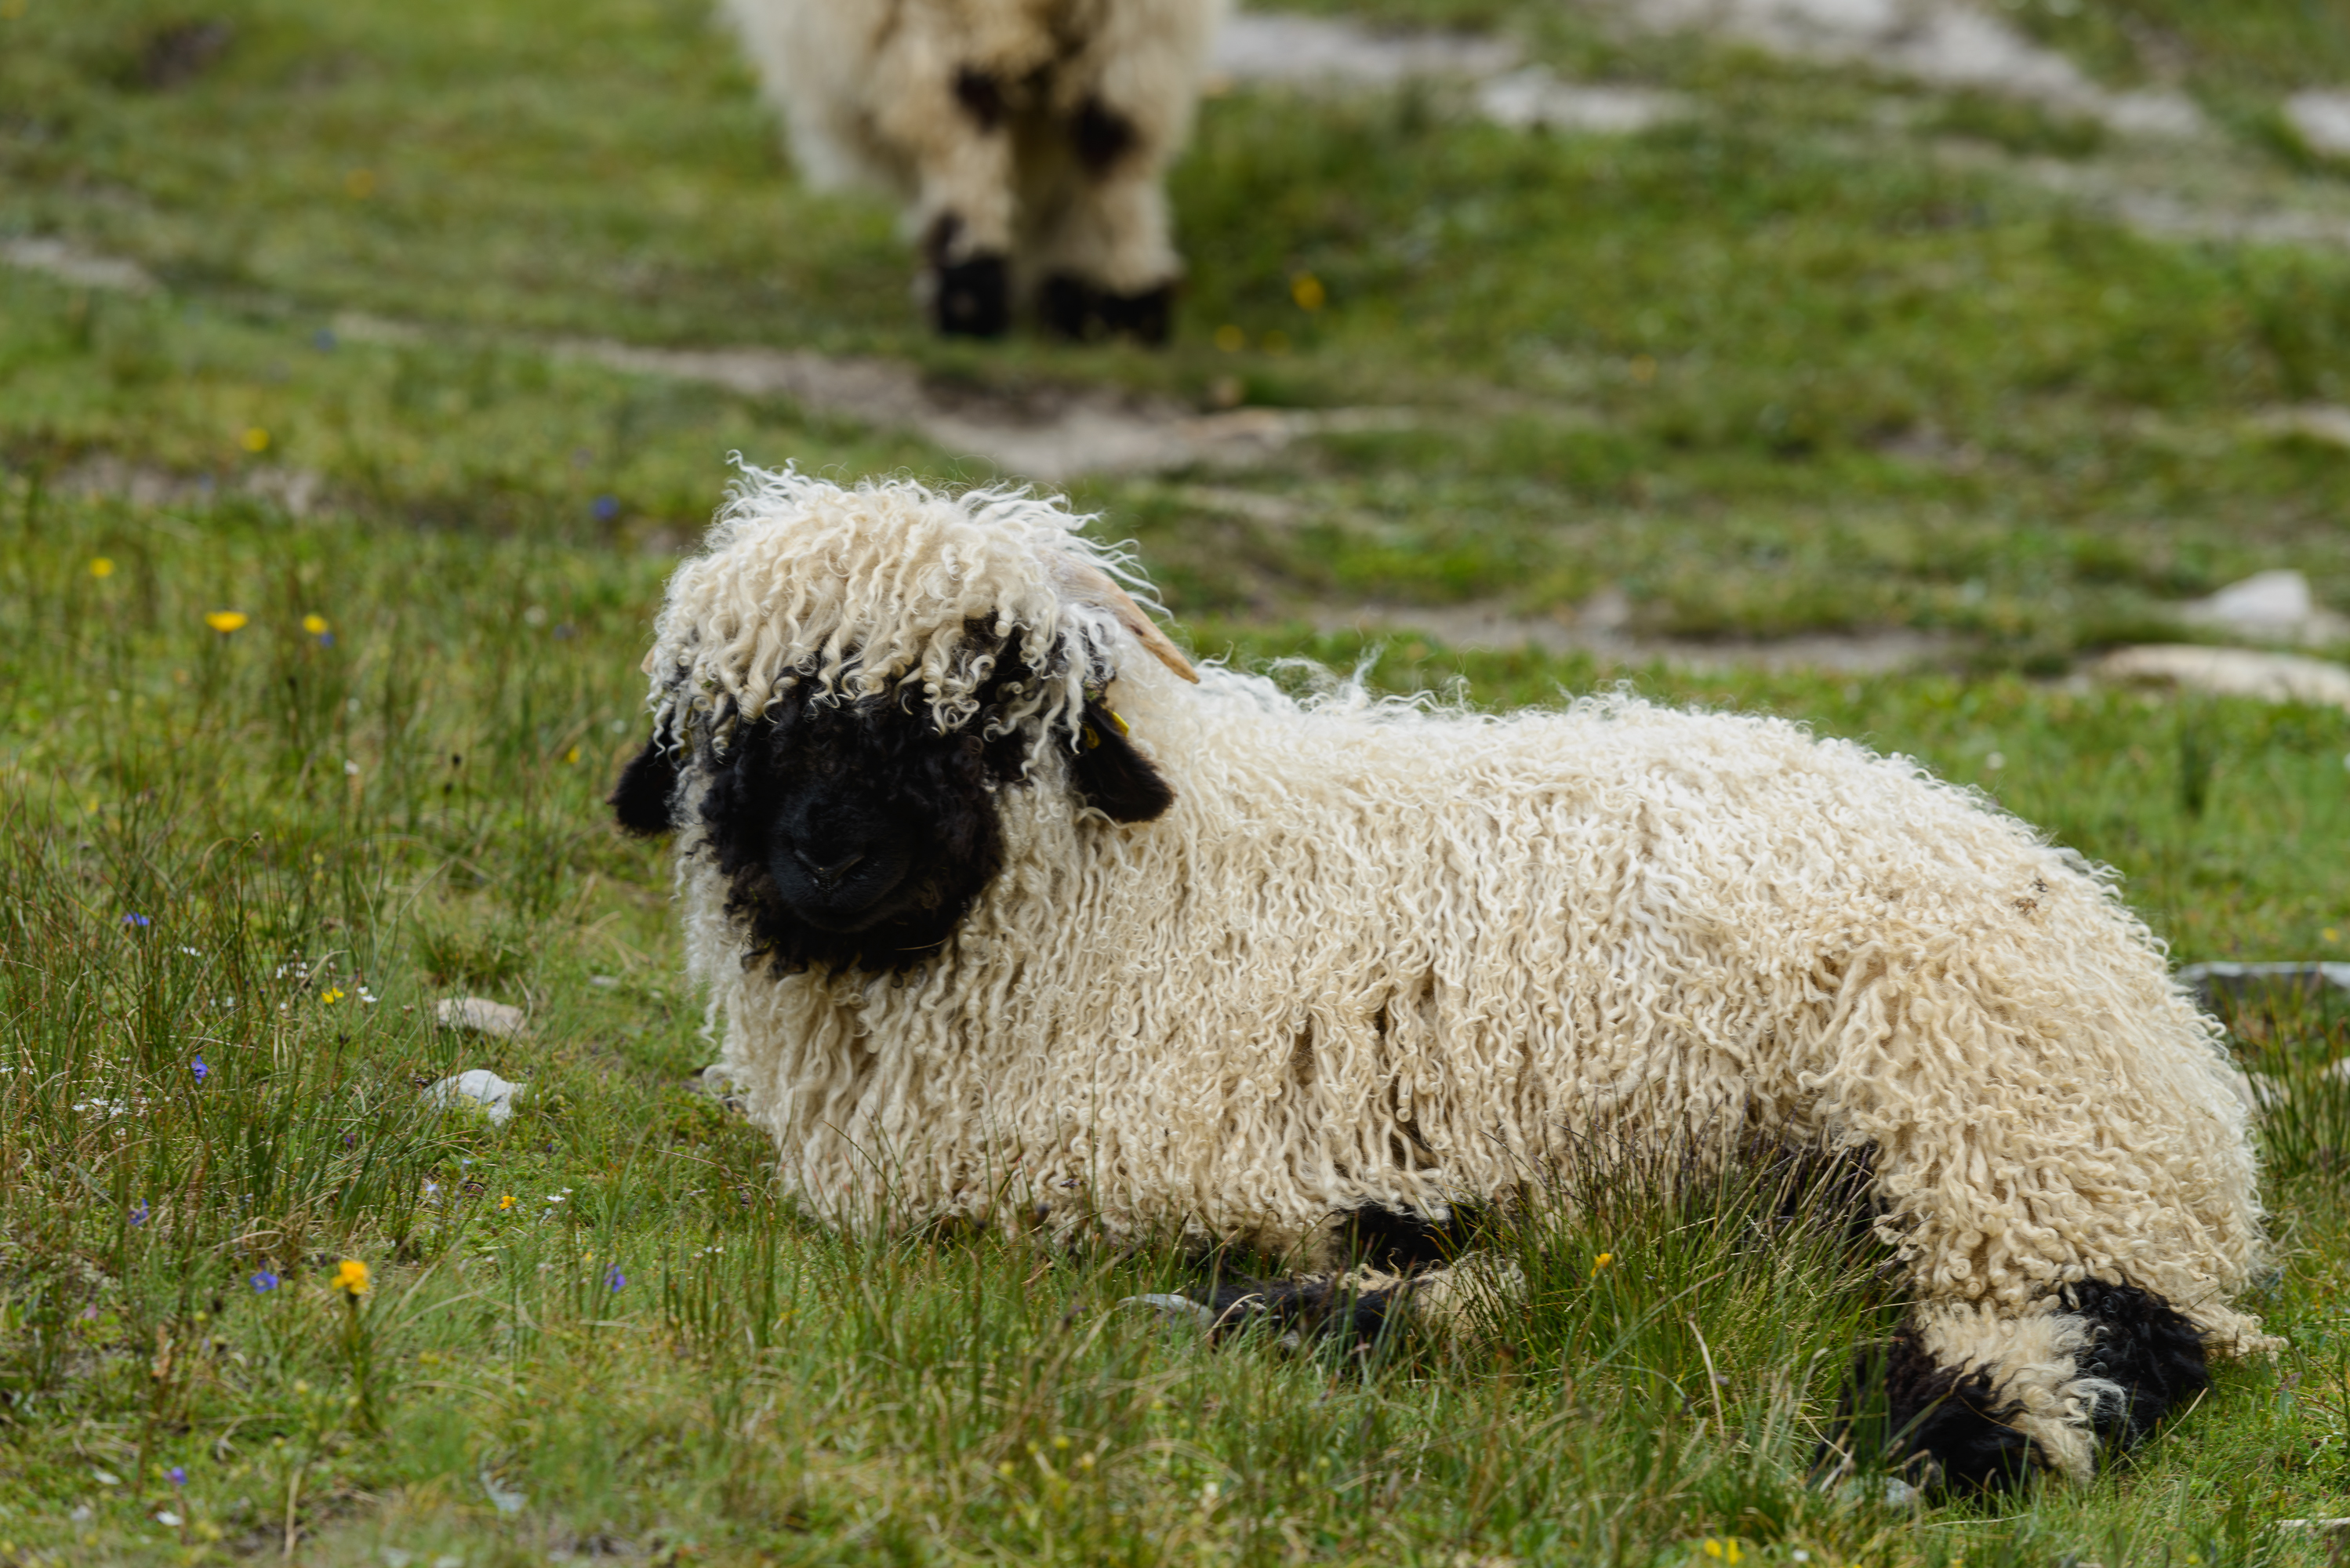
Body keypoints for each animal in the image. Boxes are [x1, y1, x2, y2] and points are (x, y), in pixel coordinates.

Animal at [612, 465, 2277, 1494]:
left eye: (985, 708)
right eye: (735, 719)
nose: (829, 858)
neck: (1116, 899)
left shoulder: (1165, 1168)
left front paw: (1357, 1278)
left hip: (1989, 1132)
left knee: (2101, 1329)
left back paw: (1925, 1451)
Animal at [720, 0, 1229, 341]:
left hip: (918, 21)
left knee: (957, 136)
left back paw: (966, 296)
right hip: (1138, 28)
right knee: (1114, 136)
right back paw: (1116, 302)